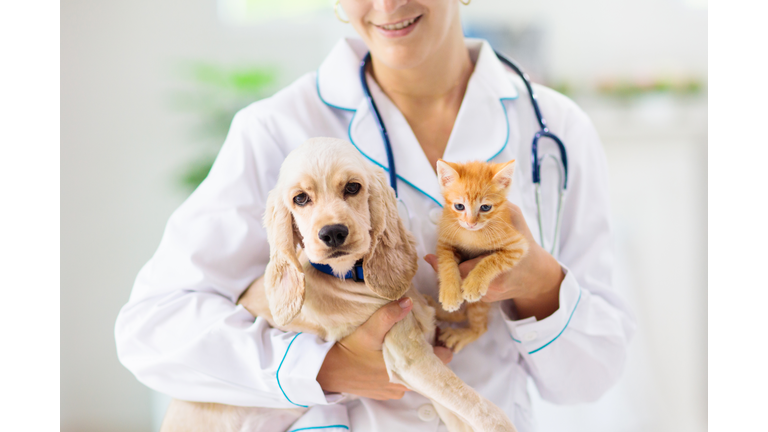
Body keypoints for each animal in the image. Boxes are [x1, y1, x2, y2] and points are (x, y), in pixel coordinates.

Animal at [160, 138, 516, 432]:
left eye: (353, 187)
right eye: (300, 198)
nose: (332, 233)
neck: (351, 277)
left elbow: (467, 411)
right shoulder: (408, 358)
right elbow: (484, 410)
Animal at [432, 160, 528, 352]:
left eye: (485, 207)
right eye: (459, 206)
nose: (471, 223)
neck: (472, 235)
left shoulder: (517, 245)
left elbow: (492, 260)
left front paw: (474, 283)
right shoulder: (444, 242)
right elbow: (446, 264)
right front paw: (450, 293)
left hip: (481, 304)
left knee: (480, 327)